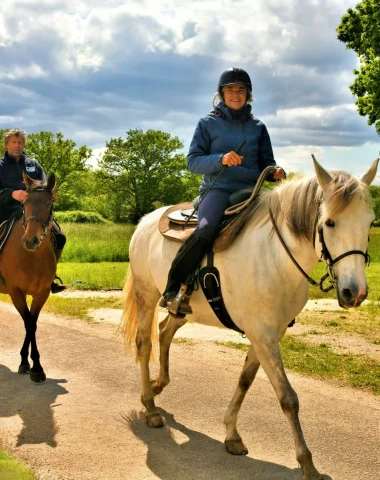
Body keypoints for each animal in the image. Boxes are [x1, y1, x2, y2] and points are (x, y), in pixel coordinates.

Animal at [0, 172, 57, 382]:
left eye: (49, 203)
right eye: (24, 203)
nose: (30, 240)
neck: (33, 257)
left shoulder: (42, 293)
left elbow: (32, 324)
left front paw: (29, 363)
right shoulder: (16, 293)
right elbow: (28, 324)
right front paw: (33, 365)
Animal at [122, 156, 380, 478]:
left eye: (369, 221)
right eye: (329, 222)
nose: (354, 292)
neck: (276, 258)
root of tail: (145, 221)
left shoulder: (268, 334)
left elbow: (245, 380)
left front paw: (232, 434)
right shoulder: (263, 335)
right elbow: (288, 398)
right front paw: (307, 464)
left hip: (182, 310)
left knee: (165, 330)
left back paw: (159, 386)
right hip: (146, 295)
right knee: (145, 344)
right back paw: (150, 407)